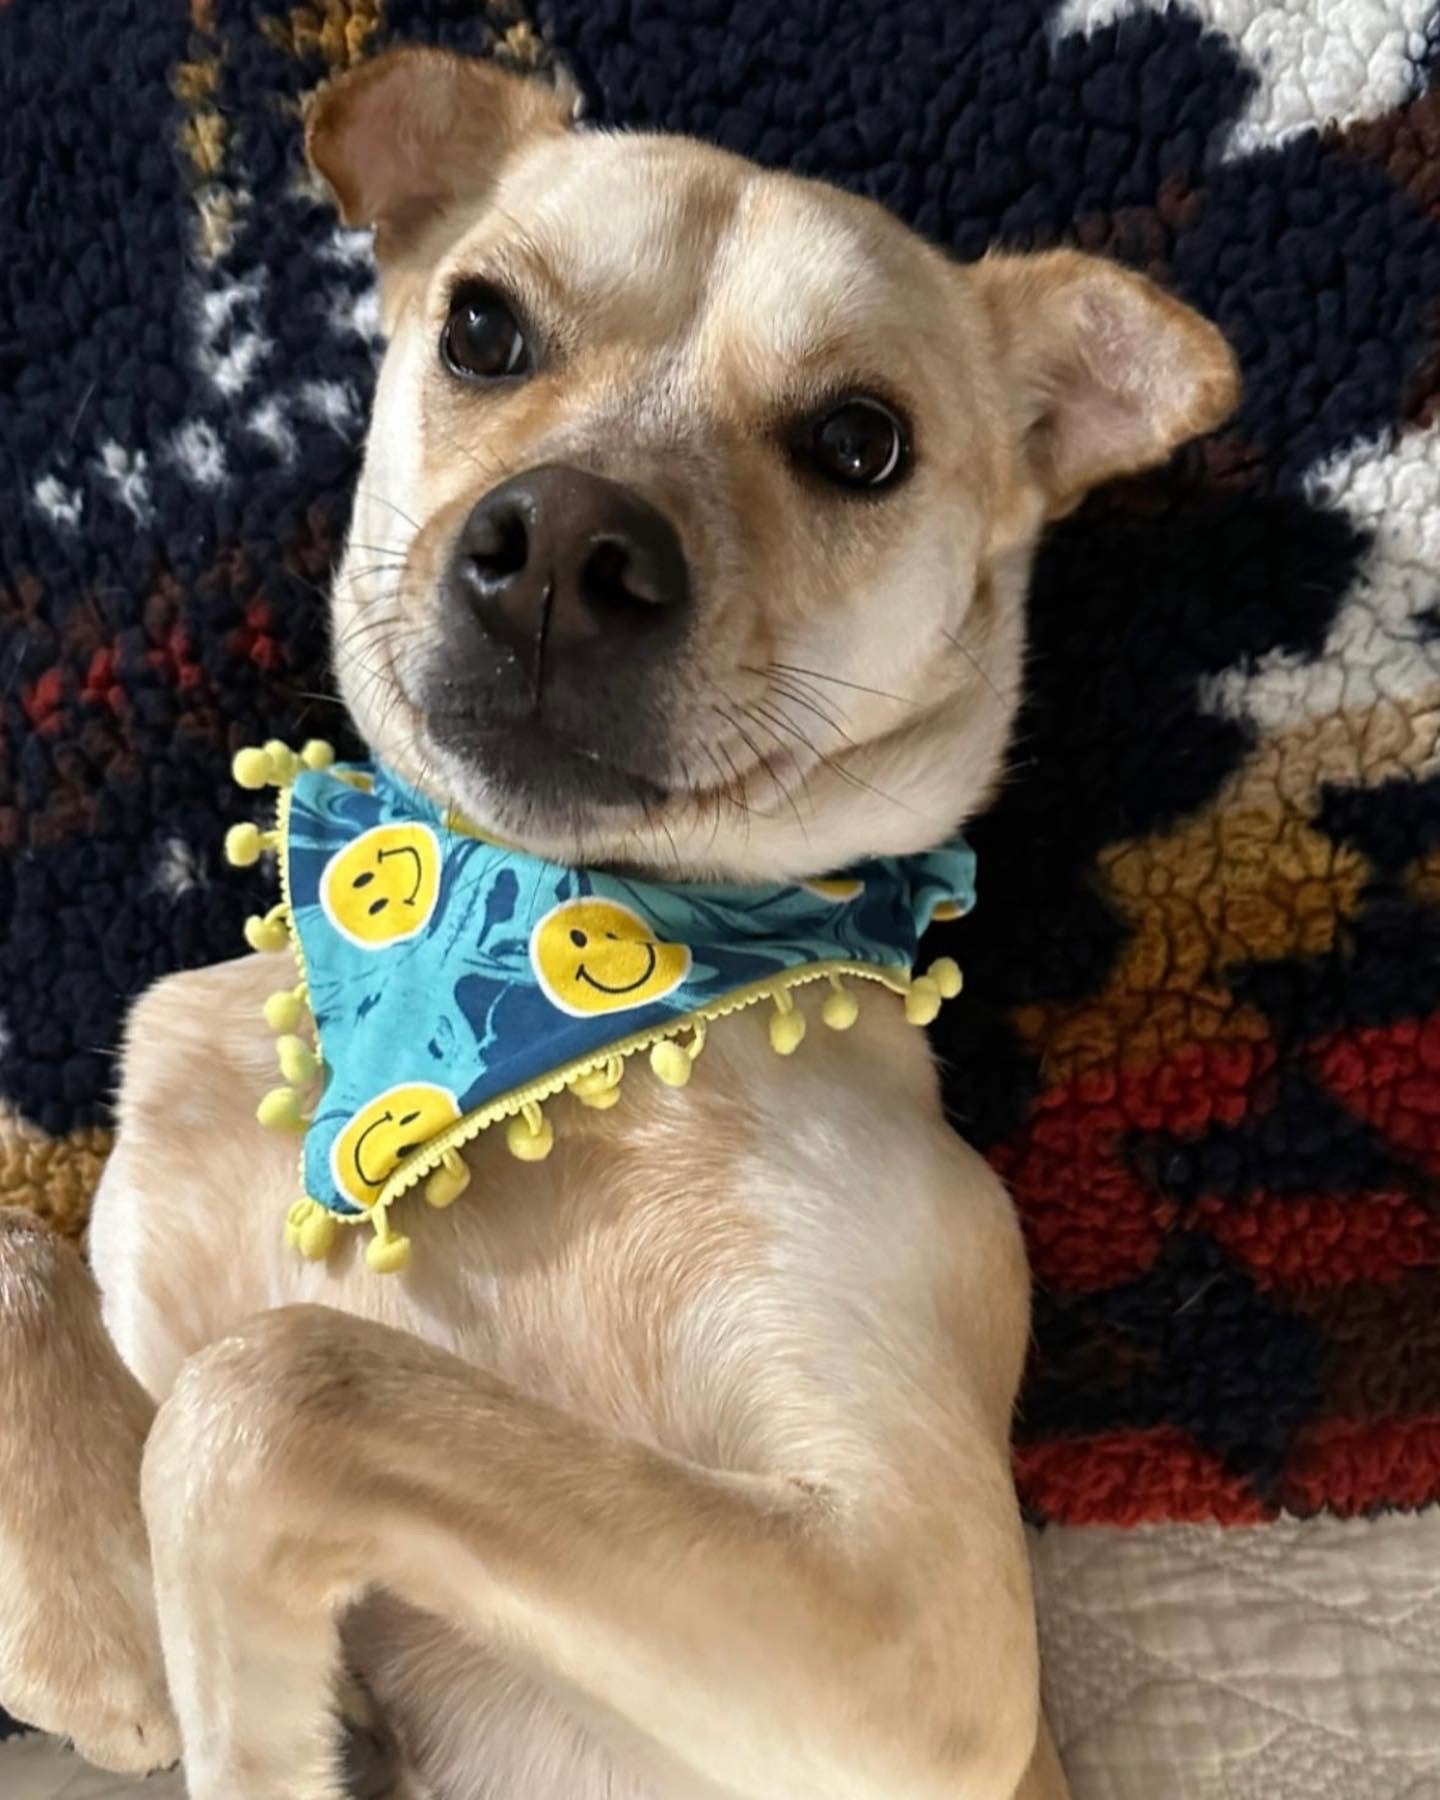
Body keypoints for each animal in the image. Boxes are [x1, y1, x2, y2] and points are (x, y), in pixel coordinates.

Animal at [0, 52, 1238, 1800]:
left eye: (862, 442)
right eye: (482, 328)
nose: (565, 554)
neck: (521, 963)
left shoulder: (926, 1625)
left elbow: (280, 1385)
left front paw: (253, 1725)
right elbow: (26, 1256)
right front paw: (97, 1634)